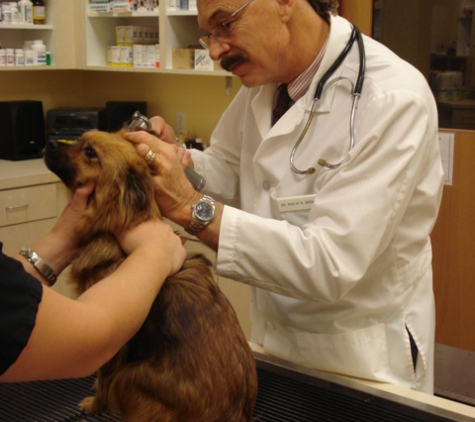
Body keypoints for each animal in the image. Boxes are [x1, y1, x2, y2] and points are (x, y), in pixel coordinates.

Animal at [43, 130, 258, 420]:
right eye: (79, 140)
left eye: (90, 152)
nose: (49, 142)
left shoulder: (115, 344)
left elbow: (105, 375)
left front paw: (95, 404)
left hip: (130, 377)